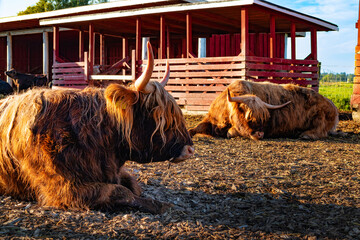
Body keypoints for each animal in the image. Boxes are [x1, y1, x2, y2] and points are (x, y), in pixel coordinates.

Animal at [0, 41, 194, 214]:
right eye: (159, 116)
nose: (190, 149)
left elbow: (134, 185)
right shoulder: (62, 187)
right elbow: (121, 191)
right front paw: (162, 205)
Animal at [190, 80, 342, 141]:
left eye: (263, 118)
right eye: (249, 116)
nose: (260, 134)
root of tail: (332, 105)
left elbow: (231, 132)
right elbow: (194, 128)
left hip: (320, 119)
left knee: (320, 131)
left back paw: (305, 135)